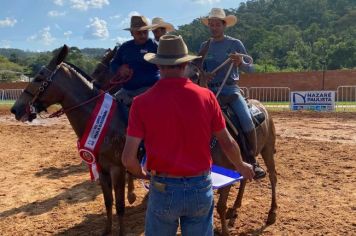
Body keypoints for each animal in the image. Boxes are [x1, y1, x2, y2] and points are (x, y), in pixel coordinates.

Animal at [10, 45, 132, 235]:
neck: (110, 122)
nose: (15, 109)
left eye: (39, 78)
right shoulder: (102, 169)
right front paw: (106, 230)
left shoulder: (117, 169)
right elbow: (108, 202)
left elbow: (120, 206)